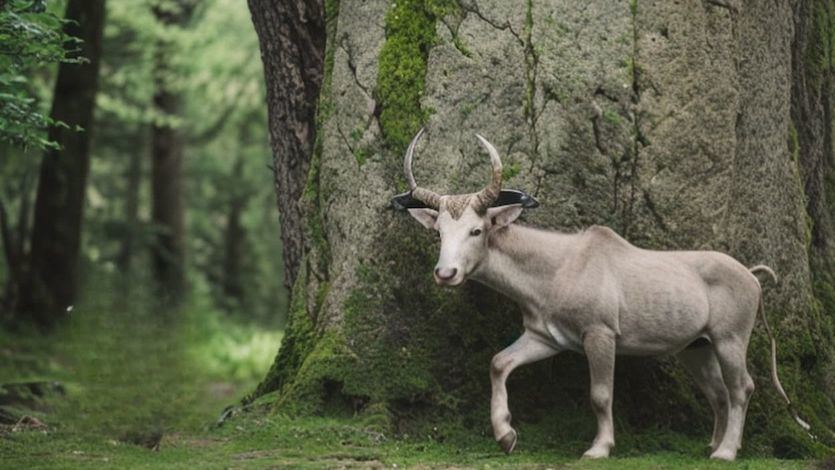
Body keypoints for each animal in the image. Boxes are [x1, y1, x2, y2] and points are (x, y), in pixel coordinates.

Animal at [392, 127, 808, 458]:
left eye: (477, 230)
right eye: (439, 232)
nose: (446, 273)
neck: (558, 268)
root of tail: (753, 277)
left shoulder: (600, 333)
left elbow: (601, 394)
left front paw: (599, 448)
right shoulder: (546, 336)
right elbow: (498, 362)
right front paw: (506, 436)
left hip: (730, 337)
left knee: (742, 388)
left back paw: (726, 451)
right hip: (697, 348)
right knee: (719, 392)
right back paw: (712, 444)